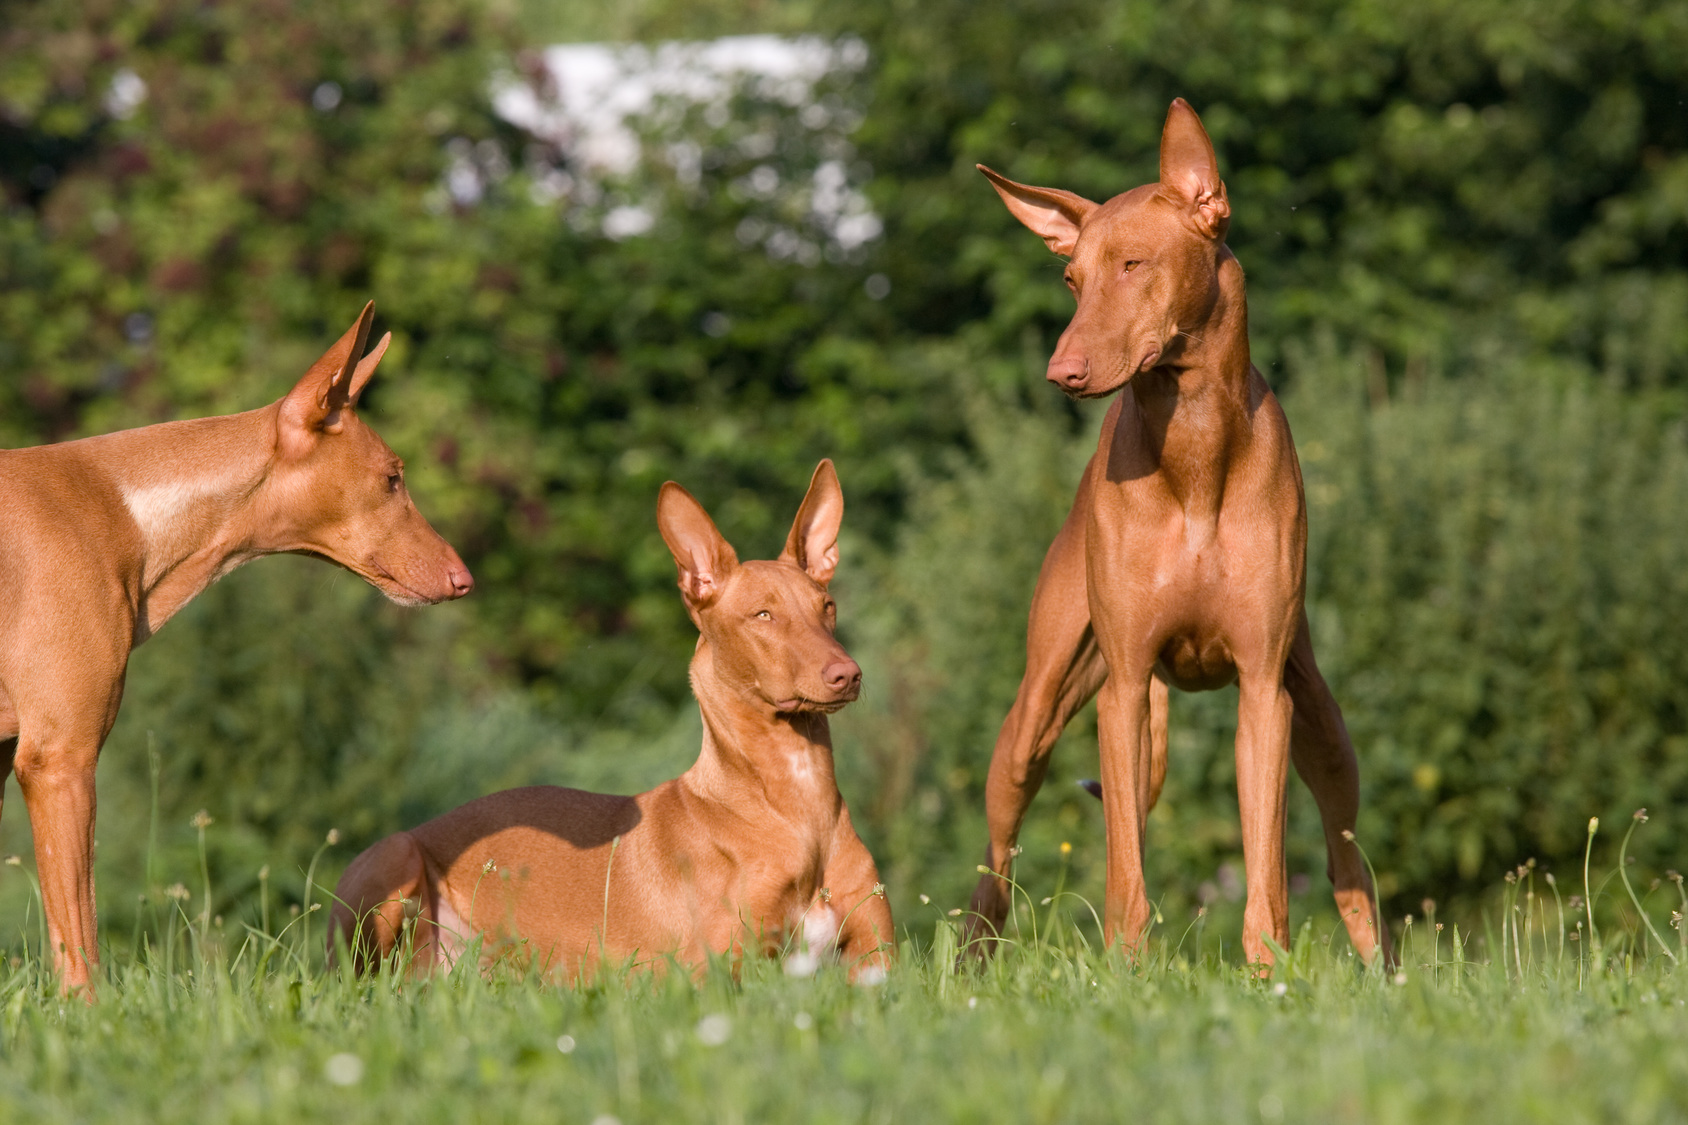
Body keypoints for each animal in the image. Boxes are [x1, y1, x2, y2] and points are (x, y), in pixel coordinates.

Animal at [320, 459, 891, 979]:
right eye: (763, 615)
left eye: (827, 606)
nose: (848, 674)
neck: (799, 805)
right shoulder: (710, 974)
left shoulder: (878, 966)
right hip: (394, 862)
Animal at [972, 98, 1390, 966]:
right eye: (1072, 278)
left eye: (1134, 264)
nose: (1061, 372)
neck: (1195, 449)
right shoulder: (1125, 687)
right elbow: (1126, 866)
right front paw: (1125, 970)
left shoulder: (1264, 692)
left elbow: (1267, 862)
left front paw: (1267, 968)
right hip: (1036, 716)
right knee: (997, 867)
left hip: (1324, 727)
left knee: (1347, 863)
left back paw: (1381, 967)